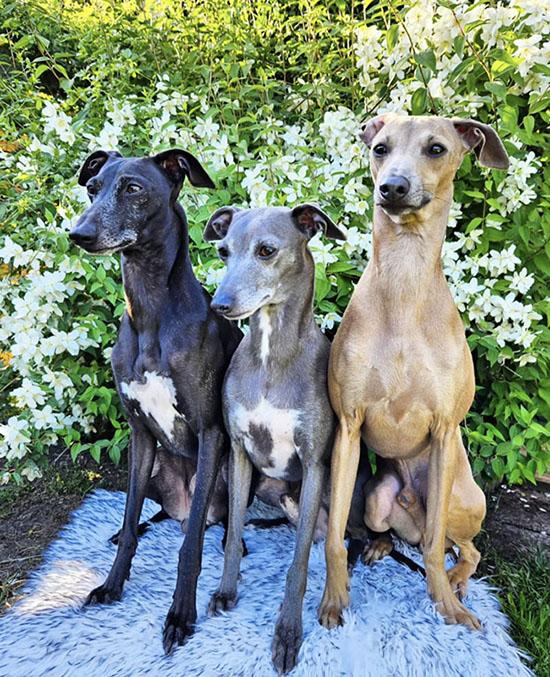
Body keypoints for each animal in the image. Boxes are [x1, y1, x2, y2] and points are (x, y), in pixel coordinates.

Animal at [69, 147, 242, 654]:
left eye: (133, 188)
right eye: (93, 188)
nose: (79, 234)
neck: (150, 314)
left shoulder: (211, 433)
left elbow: (189, 550)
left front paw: (180, 615)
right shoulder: (139, 434)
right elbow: (130, 523)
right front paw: (112, 584)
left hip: (229, 466)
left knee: (213, 526)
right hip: (147, 468)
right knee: (150, 512)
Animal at [318, 115, 509, 631]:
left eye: (436, 148)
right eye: (380, 148)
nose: (393, 187)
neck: (404, 290)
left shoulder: (444, 431)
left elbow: (434, 551)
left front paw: (446, 606)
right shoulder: (348, 428)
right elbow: (334, 536)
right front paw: (333, 599)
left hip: (465, 500)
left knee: (458, 547)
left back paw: (457, 579)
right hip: (377, 496)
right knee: (407, 535)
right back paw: (383, 545)